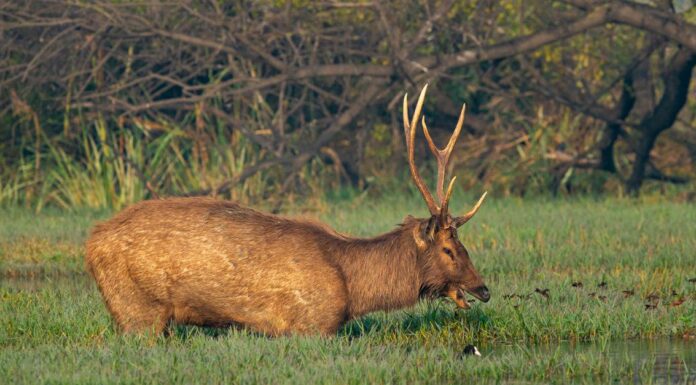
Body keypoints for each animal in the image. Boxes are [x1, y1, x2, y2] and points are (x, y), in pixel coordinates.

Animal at [85, 85, 490, 336]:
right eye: (449, 249)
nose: (484, 289)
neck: (354, 288)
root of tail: (92, 241)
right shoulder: (312, 324)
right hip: (138, 310)